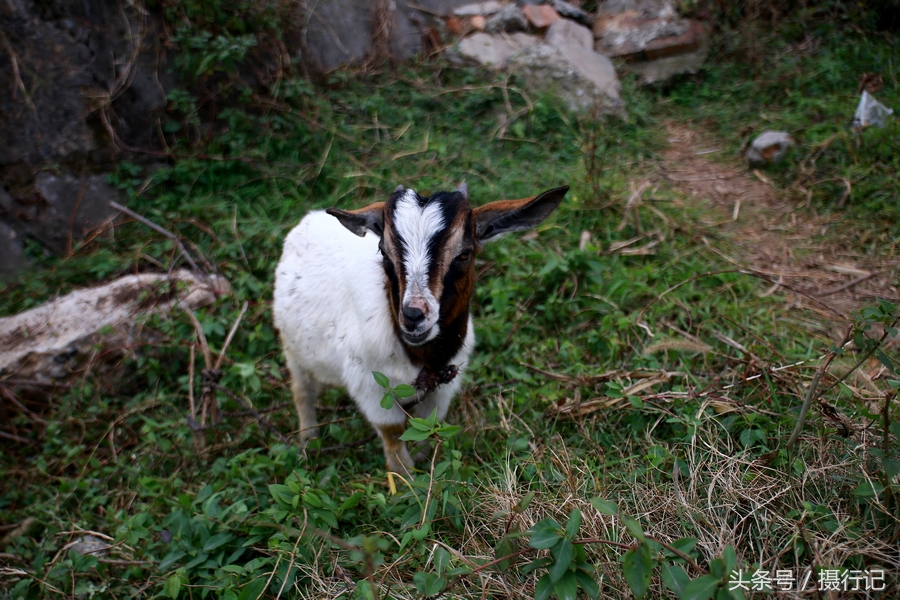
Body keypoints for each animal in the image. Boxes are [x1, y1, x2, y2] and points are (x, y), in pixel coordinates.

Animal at [274, 183, 568, 474]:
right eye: (384, 252)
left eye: (464, 253)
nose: (413, 315)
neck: (420, 354)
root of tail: (310, 219)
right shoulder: (369, 384)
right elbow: (392, 433)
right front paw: (405, 477)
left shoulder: (443, 384)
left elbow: (429, 425)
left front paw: (427, 463)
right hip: (293, 349)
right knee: (302, 390)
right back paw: (308, 441)